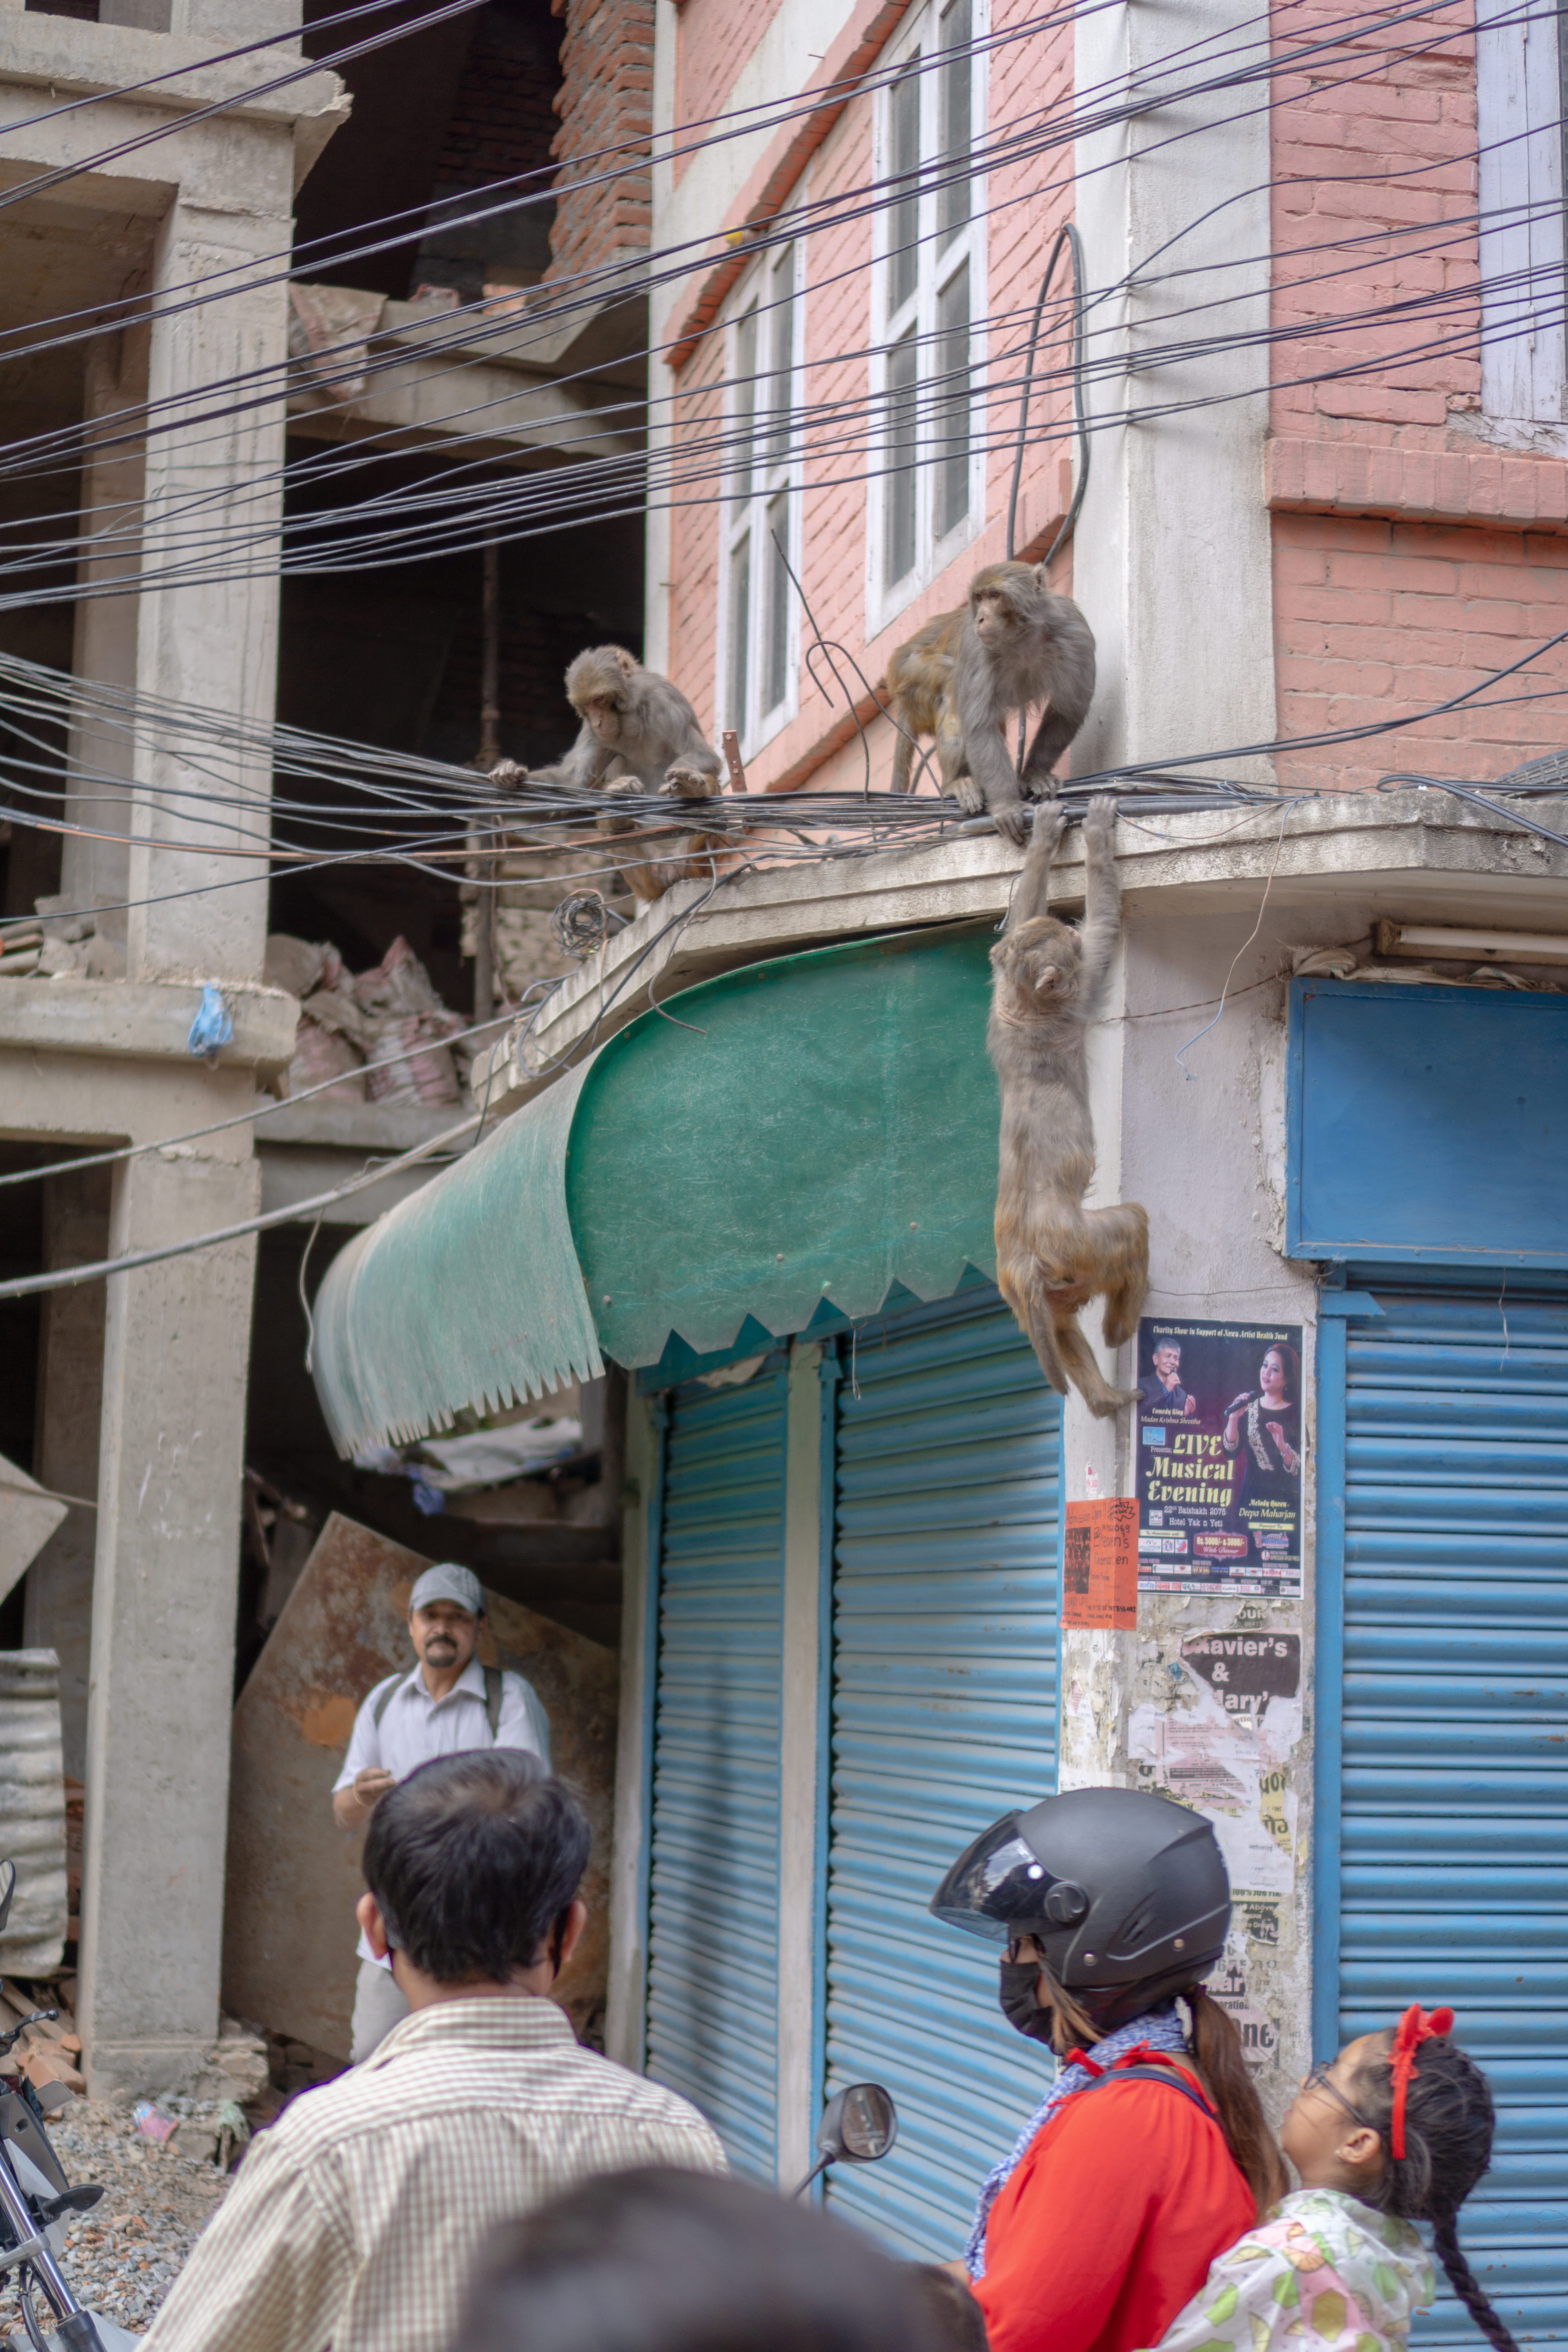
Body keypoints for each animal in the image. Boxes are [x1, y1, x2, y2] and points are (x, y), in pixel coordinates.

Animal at [494, 646, 728, 904]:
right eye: (588, 706)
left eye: (599, 700)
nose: (598, 721)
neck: (631, 713)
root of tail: (671, 874)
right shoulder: (592, 731)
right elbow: (573, 778)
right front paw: (511, 772)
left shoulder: (665, 700)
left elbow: (702, 754)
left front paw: (685, 785)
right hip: (642, 873)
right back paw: (619, 813)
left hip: (696, 858)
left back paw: (692, 791)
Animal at [884, 562, 1095, 846]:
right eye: (979, 598)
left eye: (994, 596)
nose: (981, 619)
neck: (1023, 635)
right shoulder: (976, 646)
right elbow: (979, 726)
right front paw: (1006, 805)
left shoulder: (1073, 628)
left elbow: (1068, 709)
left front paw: (1034, 774)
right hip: (911, 676)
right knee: (952, 689)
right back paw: (954, 783)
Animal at [988, 794, 1148, 1418]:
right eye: (1070, 948)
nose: (1070, 945)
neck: (1026, 1007)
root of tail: (1028, 1268)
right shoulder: (1075, 998)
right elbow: (1105, 927)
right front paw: (1100, 836)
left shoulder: (1001, 992)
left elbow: (1016, 919)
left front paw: (1043, 841)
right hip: (1075, 1247)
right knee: (1129, 1229)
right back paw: (1121, 1325)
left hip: (1033, 1288)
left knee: (1058, 1329)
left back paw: (1102, 1398)